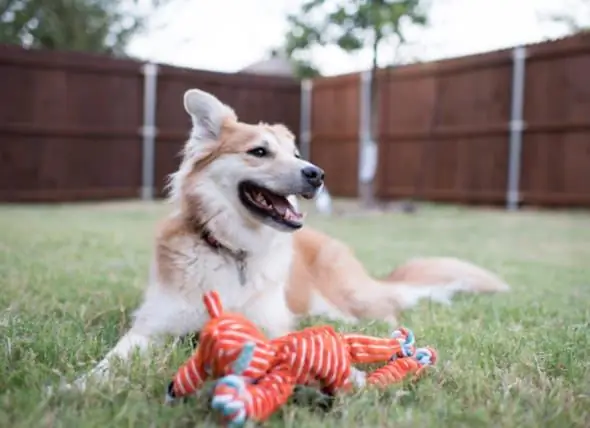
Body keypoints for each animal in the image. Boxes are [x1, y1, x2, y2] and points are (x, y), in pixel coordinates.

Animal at [63, 88, 508, 392]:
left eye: (296, 155)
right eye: (259, 152)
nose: (317, 173)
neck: (234, 251)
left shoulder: (270, 326)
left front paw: (348, 375)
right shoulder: (149, 328)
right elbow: (112, 360)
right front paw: (78, 386)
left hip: (353, 301)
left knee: (387, 312)